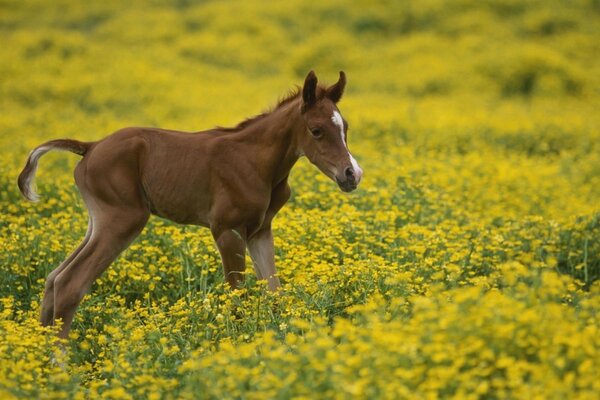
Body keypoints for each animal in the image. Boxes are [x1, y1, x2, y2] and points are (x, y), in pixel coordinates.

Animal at [19, 71, 360, 338]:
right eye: (316, 130)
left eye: (345, 128)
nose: (351, 174)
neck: (255, 161)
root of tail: (90, 147)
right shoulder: (226, 231)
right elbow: (237, 296)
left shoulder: (260, 231)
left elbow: (274, 291)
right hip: (122, 220)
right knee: (70, 283)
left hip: (98, 223)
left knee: (53, 278)